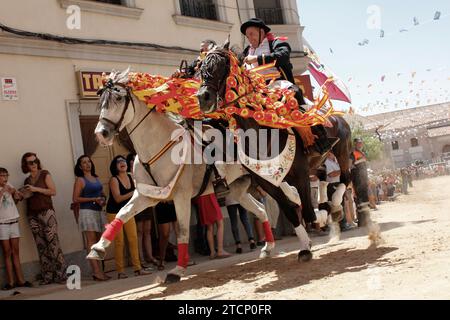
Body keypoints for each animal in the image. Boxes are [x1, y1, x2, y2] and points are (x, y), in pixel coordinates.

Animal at [84, 69, 274, 282]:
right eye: (101, 102)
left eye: (117, 98)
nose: (101, 134)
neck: (158, 147)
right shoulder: (146, 196)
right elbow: (122, 213)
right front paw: (97, 248)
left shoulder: (181, 196)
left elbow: (183, 231)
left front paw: (177, 270)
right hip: (238, 190)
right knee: (260, 210)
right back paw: (268, 247)